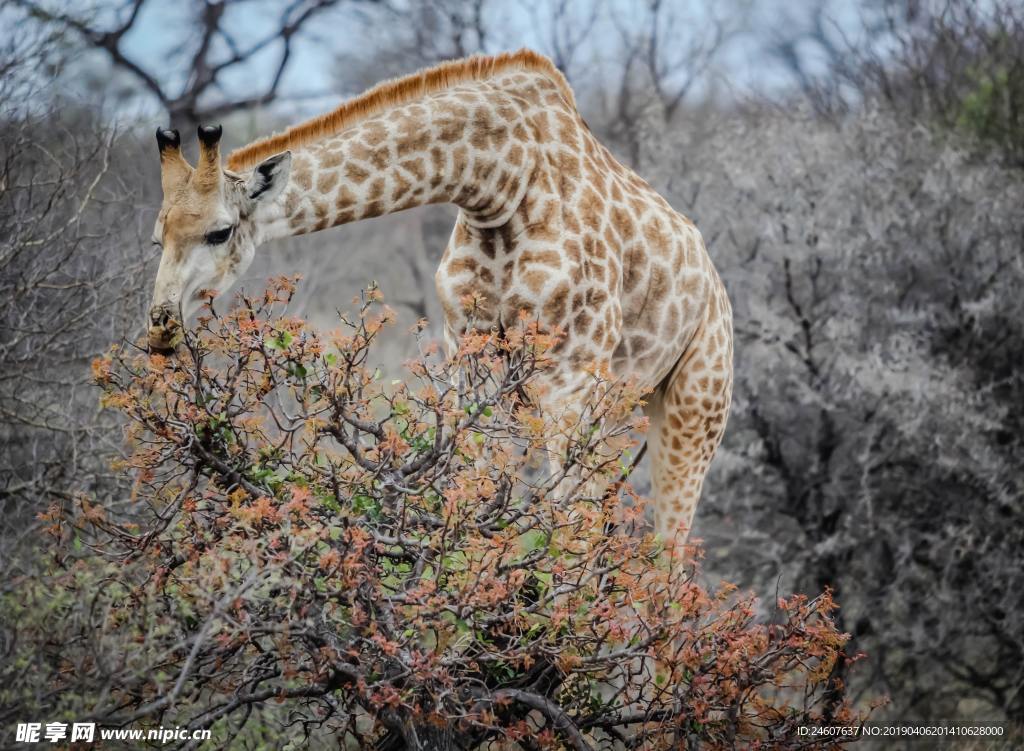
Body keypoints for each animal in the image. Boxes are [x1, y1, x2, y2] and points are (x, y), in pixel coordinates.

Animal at [148, 48, 733, 540]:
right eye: (157, 237)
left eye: (220, 231)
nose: (160, 327)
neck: (500, 182)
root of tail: (714, 281)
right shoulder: (467, 350)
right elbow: (471, 485)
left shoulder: (570, 371)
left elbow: (566, 522)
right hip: (622, 402)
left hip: (695, 405)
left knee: (668, 550)